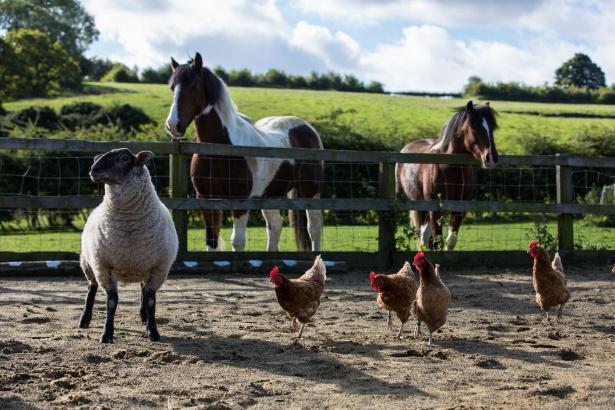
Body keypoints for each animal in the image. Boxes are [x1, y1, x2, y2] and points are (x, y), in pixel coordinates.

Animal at [77, 147, 178, 342]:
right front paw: (106, 334)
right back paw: (84, 320)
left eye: (124, 158)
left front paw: (153, 332)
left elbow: (151, 301)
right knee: (91, 288)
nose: (94, 169)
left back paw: (144, 317)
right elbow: (111, 302)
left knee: (143, 290)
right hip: (88, 263)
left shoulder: (157, 268)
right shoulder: (104, 267)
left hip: (142, 264)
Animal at [166, 52, 324, 251]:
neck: (220, 149)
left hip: (310, 190)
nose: (173, 125)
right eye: (172, 88)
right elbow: (212, 242)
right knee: (275, 227)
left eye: (193, 86)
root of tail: (308, 128)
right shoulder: (206, 200)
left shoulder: (240, 201)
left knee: (314, 228)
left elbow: (238, 241)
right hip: (269, 195)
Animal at [398, 101, 498, 251]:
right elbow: (438, 241)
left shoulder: (460, 208)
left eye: (493, 127)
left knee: (424, 234)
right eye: (473, 126)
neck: (451, 167)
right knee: (422, 235)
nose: (491, 158)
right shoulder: (435, 208)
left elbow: (450, 241)